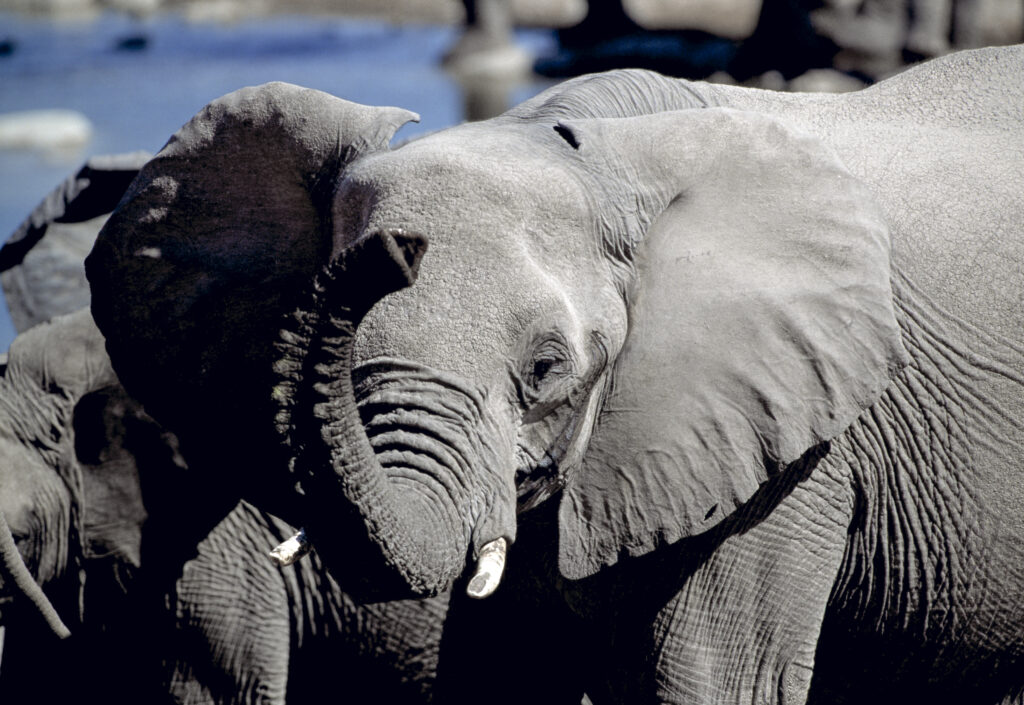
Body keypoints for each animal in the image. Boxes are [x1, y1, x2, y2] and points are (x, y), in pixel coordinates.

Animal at [84, 44, 1024, 704]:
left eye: (546, 369)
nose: (393, 249)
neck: (582, 149)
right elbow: (500, 669)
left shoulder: (794, 455)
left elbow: (720, 680)